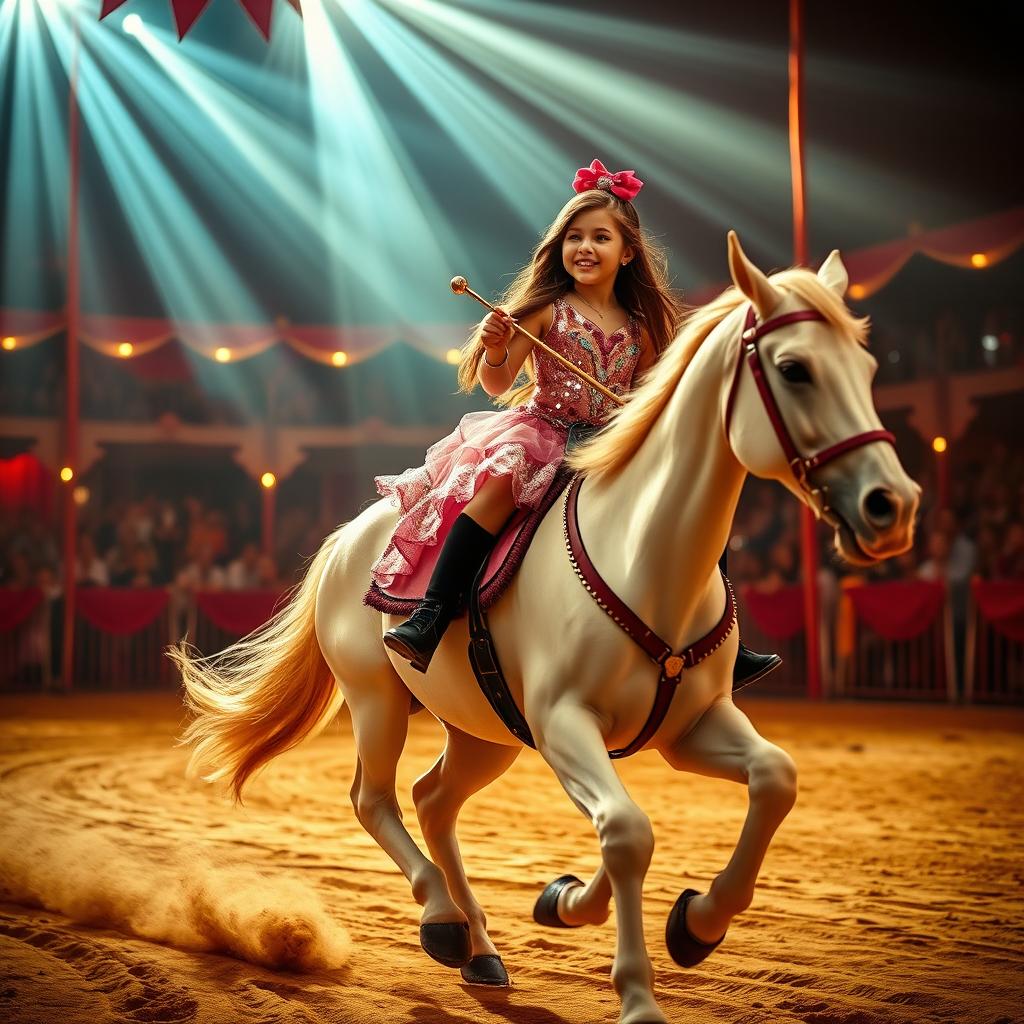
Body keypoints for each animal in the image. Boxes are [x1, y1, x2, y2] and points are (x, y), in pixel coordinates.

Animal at [174, 235, 921, 1024]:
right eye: (794, 368)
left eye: (869, 369)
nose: (891, 505)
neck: (643, 550)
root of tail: (350, 535)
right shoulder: (564, 723)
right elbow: (626, 831)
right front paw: (633, 986)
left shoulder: (692, 725)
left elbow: (773, 780)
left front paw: (677, 918)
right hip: (377, 699)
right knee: (373, 799)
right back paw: (443, 920)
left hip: (484, 728)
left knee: (433, 801)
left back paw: (481, 949)